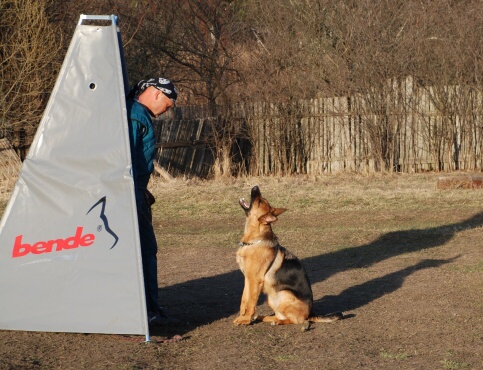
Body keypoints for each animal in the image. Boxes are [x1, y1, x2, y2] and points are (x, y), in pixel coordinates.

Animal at [234, 186, 344, 326]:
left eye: (259, 201)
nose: (256, 187)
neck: (254, 240)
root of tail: (311, 314)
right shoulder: (247, 279)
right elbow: (244, 300)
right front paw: (243, 316)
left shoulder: (254, 281)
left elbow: (251, 303)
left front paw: (246, 319)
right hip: (272, 297)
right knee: (279, 315)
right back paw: (263, 318)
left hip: (283, 294)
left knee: (295, 320)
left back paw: (276, 321)